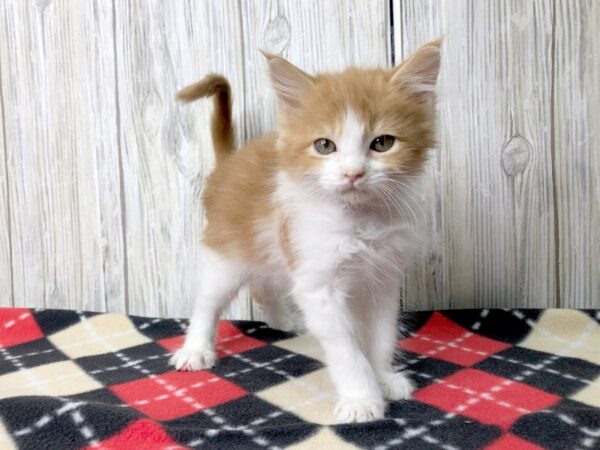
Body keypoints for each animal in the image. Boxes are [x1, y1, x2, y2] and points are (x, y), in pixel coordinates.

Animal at [171, 40, 442, 424]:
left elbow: (382, 336)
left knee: (264, 286)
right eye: (324, 145)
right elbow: (347, 348)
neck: (359, 221)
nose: (353, 173)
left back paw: (284, 320)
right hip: (226, 255)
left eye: (383, 143)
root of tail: (228, 163)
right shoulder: (319, 285)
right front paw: (362, 398)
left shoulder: (382, 282)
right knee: (207, 303)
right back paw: (195, 349)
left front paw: (384, 378)